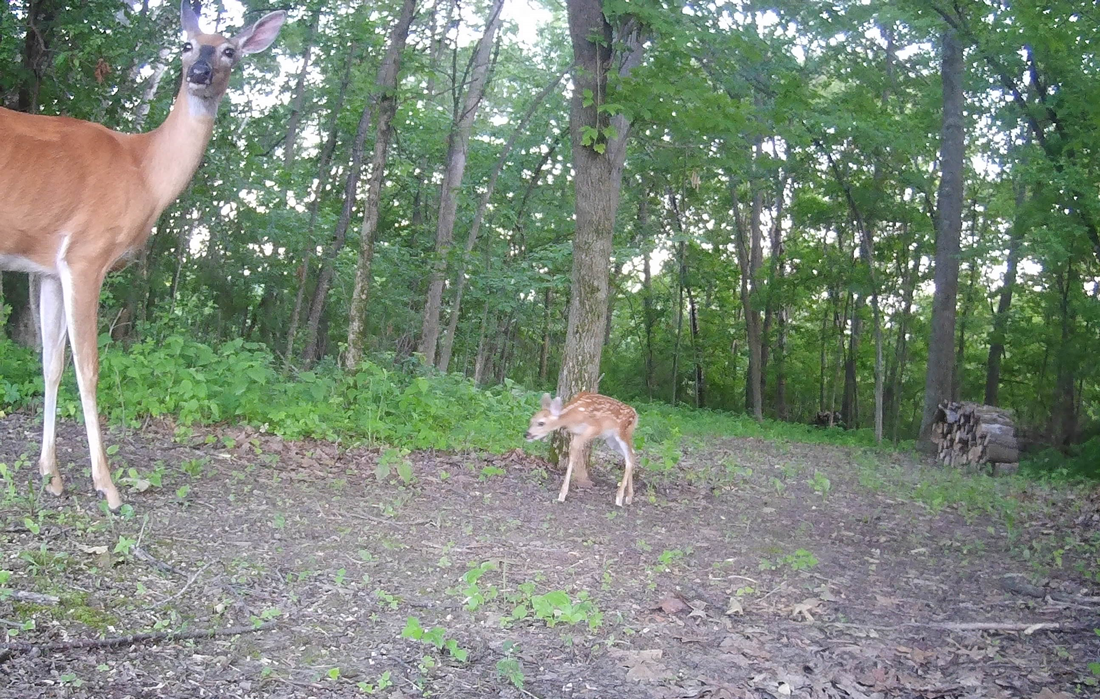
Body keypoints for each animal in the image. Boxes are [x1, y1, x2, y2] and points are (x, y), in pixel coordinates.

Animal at [0, 1, 285, 510]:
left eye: (229, 51)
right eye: (187, 45)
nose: (198, 72)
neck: (143, 170)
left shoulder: (48, 267)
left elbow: (50, 364)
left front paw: (51, 475)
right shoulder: (87, 253)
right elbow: (89, 368)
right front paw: (107, 486)